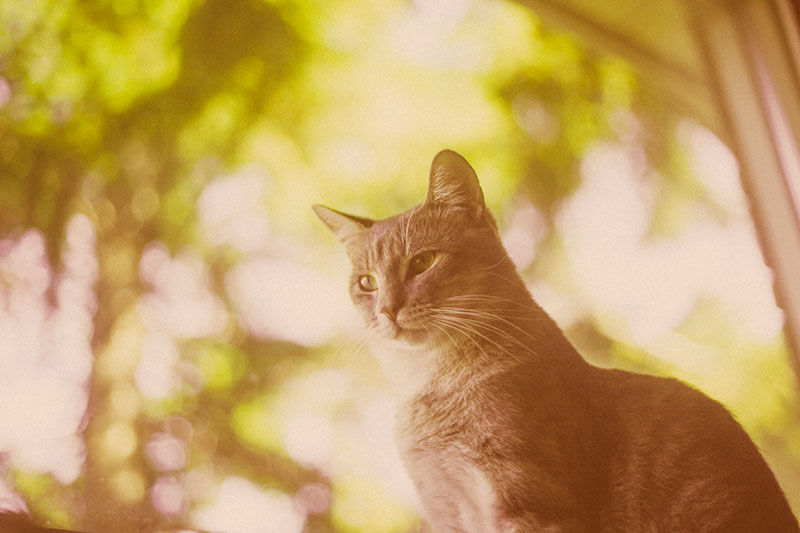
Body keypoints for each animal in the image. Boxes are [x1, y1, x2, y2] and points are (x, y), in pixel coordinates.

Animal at [314, 150, 800, 532]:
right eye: (366, 282)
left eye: (422, 262)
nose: (386, 310)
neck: (432, 387)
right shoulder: (446, 510)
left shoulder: (529, 502)